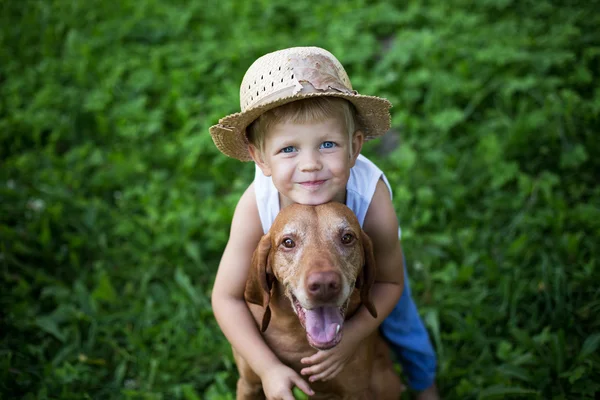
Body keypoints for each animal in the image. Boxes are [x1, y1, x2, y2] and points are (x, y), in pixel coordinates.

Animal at [234, 203, 404, 400]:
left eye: (347, 238)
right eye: (288, 242)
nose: (324, 285)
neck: (298, 337)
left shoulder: (356, 391)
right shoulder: (248, 385)